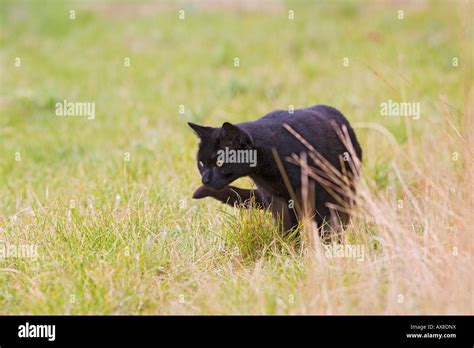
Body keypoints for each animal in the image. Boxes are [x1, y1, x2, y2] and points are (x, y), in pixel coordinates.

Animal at [189, 104, 362, 235]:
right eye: (201, 163)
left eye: (219, 162)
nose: (205, 179)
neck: (267, 172)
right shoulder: (274, 197)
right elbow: (285, 226)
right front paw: (289, 250)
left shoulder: (315, 192)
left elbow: (321, 223)